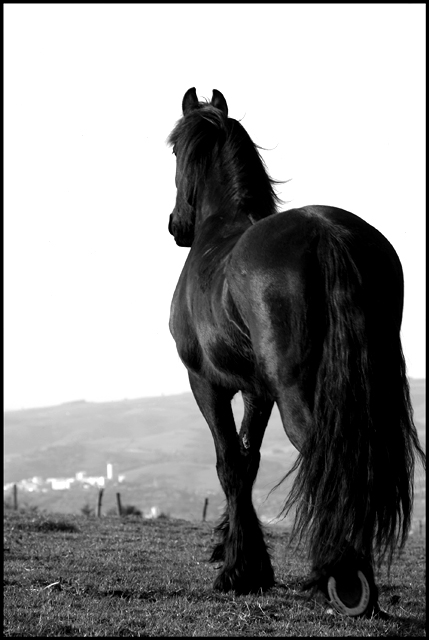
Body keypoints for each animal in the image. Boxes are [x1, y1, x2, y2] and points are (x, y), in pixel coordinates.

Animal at [167, 87, 425, 616]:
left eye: (174, 149)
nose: (176, 226)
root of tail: (329, 233)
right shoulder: (257, 390)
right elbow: (248, 462)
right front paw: (246, 563)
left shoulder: (207, 384)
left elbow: (229, 464)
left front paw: (237, 572)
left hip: (296, 391)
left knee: (327, 455)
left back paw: (344, 579)